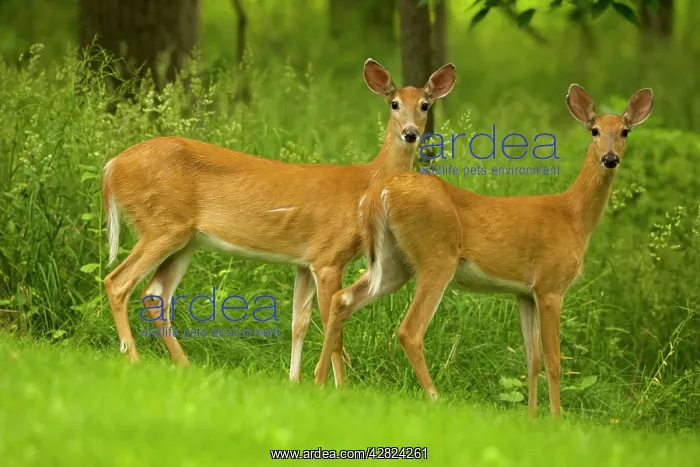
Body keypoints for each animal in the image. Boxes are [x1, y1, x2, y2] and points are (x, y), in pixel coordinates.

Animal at [101, 58, 457, 387]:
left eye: (424, 104)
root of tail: (111, 167)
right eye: (394, 103)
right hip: (161, 225)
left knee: (155, 294)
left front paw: (295, 381)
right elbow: (332, 322)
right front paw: (338, 387)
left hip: (186, 239)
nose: (410, 133)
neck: (366, 187)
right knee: (117, 282)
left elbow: (299, 322)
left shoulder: (305, 261)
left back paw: (184, 366)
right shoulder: (328, 256)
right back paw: (133, 357)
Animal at [313, 84, 653, 416]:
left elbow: (532, 359)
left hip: (393, 262)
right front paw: (557, 418)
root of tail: (380, 192)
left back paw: (319, 381)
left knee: (341, 299)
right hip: (437, 256)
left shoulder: (524, 293)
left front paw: (532, 418)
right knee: (409, 330)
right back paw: (436, 397)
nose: (610, 158)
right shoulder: (551, 285)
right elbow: (554, 360)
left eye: (625, 131)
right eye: (594, 130)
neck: (574, 218)